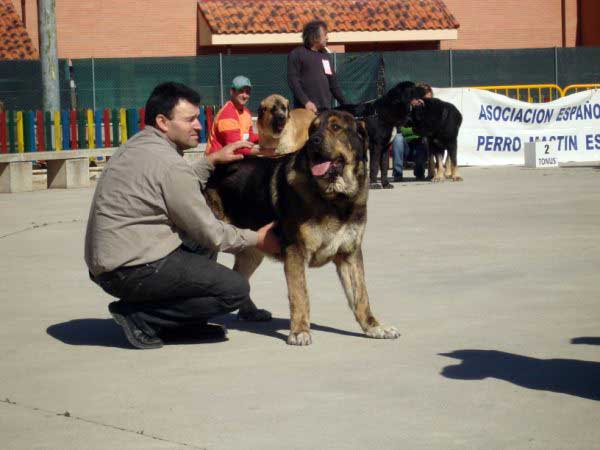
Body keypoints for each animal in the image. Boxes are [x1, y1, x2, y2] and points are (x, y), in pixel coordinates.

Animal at [205, 110, 398, 346]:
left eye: (336, 127)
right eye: (313, 129)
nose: (313, 141)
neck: (335, 197)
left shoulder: (350, 253)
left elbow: (361, 295)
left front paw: (373, 327)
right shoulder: (296, 251)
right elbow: (300, 295)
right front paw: (299, 331)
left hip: (252, 250)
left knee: (239, 275)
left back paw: (250, 311)